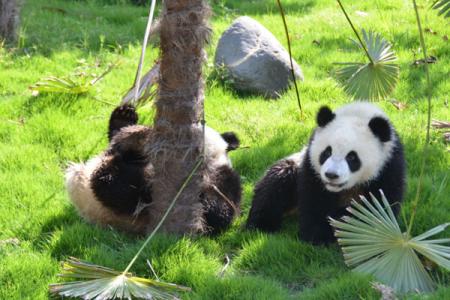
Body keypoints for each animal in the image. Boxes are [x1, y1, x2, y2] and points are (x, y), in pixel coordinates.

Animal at [246, 102, 408, 244]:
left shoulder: (389, 167)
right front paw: (318, 237)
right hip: (293, 168)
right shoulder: (310, 164)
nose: (331, 175)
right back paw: (261, 226)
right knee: (275, 184)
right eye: (327, 152)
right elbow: (314, 200)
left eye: (352, 157)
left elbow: (375, 208)